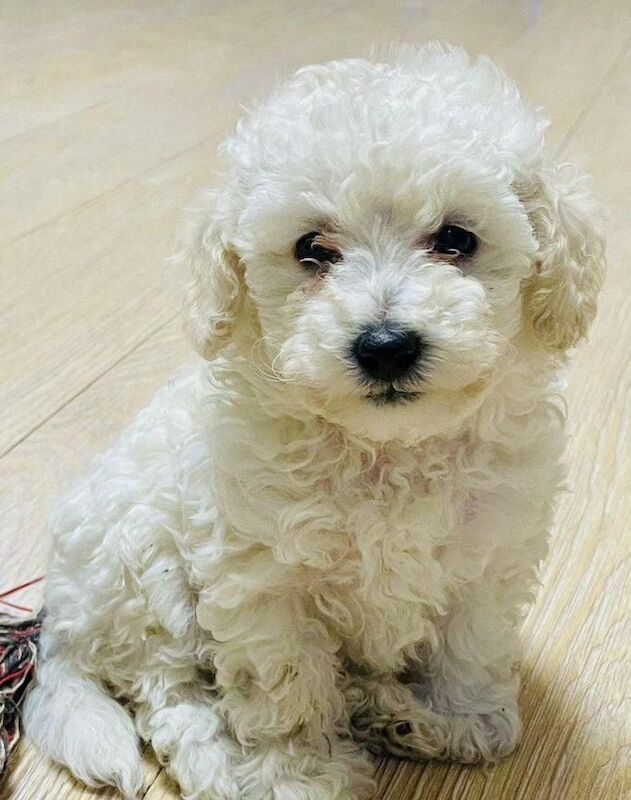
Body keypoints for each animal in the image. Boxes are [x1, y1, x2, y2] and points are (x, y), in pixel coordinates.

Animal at [24, 43, 608, 800]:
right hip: (141, 571)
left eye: (456, 239)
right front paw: (297, 775)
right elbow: (285, 687)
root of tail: (61, 628)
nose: (385, 345)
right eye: (311, 249)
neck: (386, 452)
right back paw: (235, 758)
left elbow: (469, 643)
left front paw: (462, 721)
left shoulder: (487, 549)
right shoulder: (261, 581)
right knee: (170, 695)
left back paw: (394, 715)